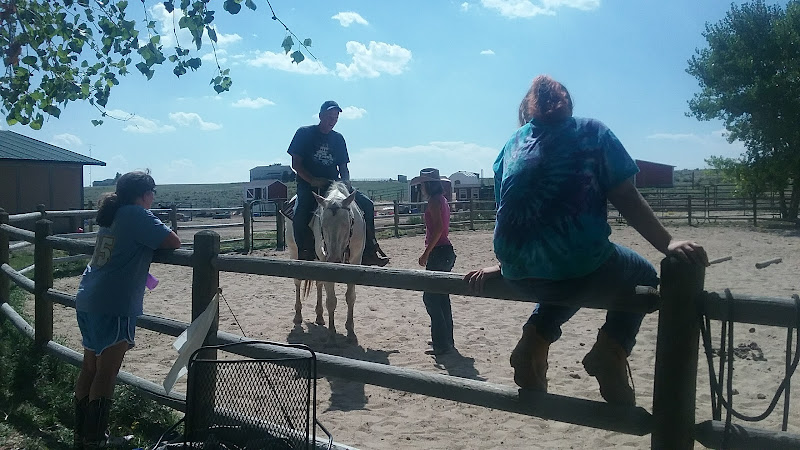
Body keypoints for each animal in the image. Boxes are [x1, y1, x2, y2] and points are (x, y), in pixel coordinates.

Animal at [284, 181, 366, 340]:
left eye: (348, 222)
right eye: (322, 224)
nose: (334, 259)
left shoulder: (356, 260)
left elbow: (350, 297)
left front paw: (350, 330)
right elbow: (331, 300)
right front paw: (331, 334)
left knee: (319, 283)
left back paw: (320, 316)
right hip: (294, 252)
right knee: (297, 282)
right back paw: (298, 316)